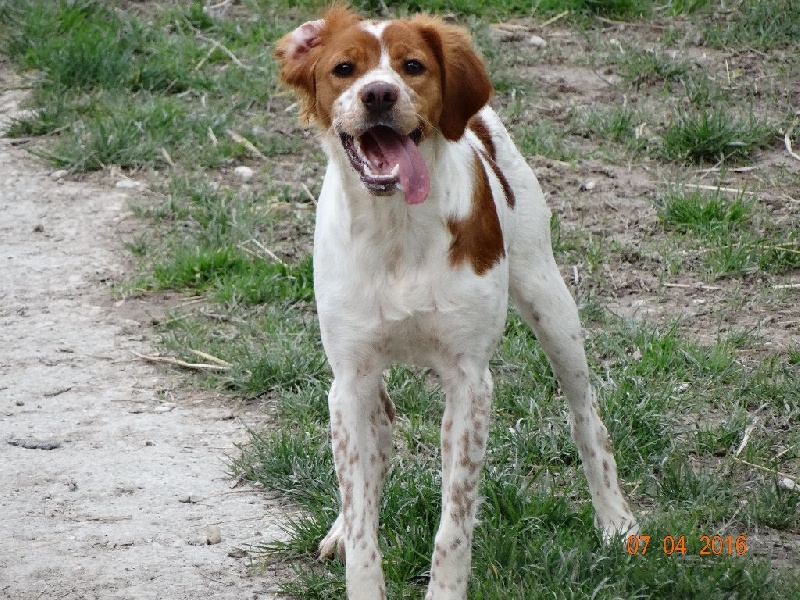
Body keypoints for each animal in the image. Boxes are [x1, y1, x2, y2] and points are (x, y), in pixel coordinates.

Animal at [275, 6, 638, 599]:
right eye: (344, 68)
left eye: (413, 66)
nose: (379, 94)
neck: (397, 227)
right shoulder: (349, 377)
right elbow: (362, 517)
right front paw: (356, 553)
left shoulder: (470, 381)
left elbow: (454, 525)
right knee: (376, 441)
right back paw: (339, 526)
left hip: (550, 303)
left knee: (586, 416)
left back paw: (615, 519)